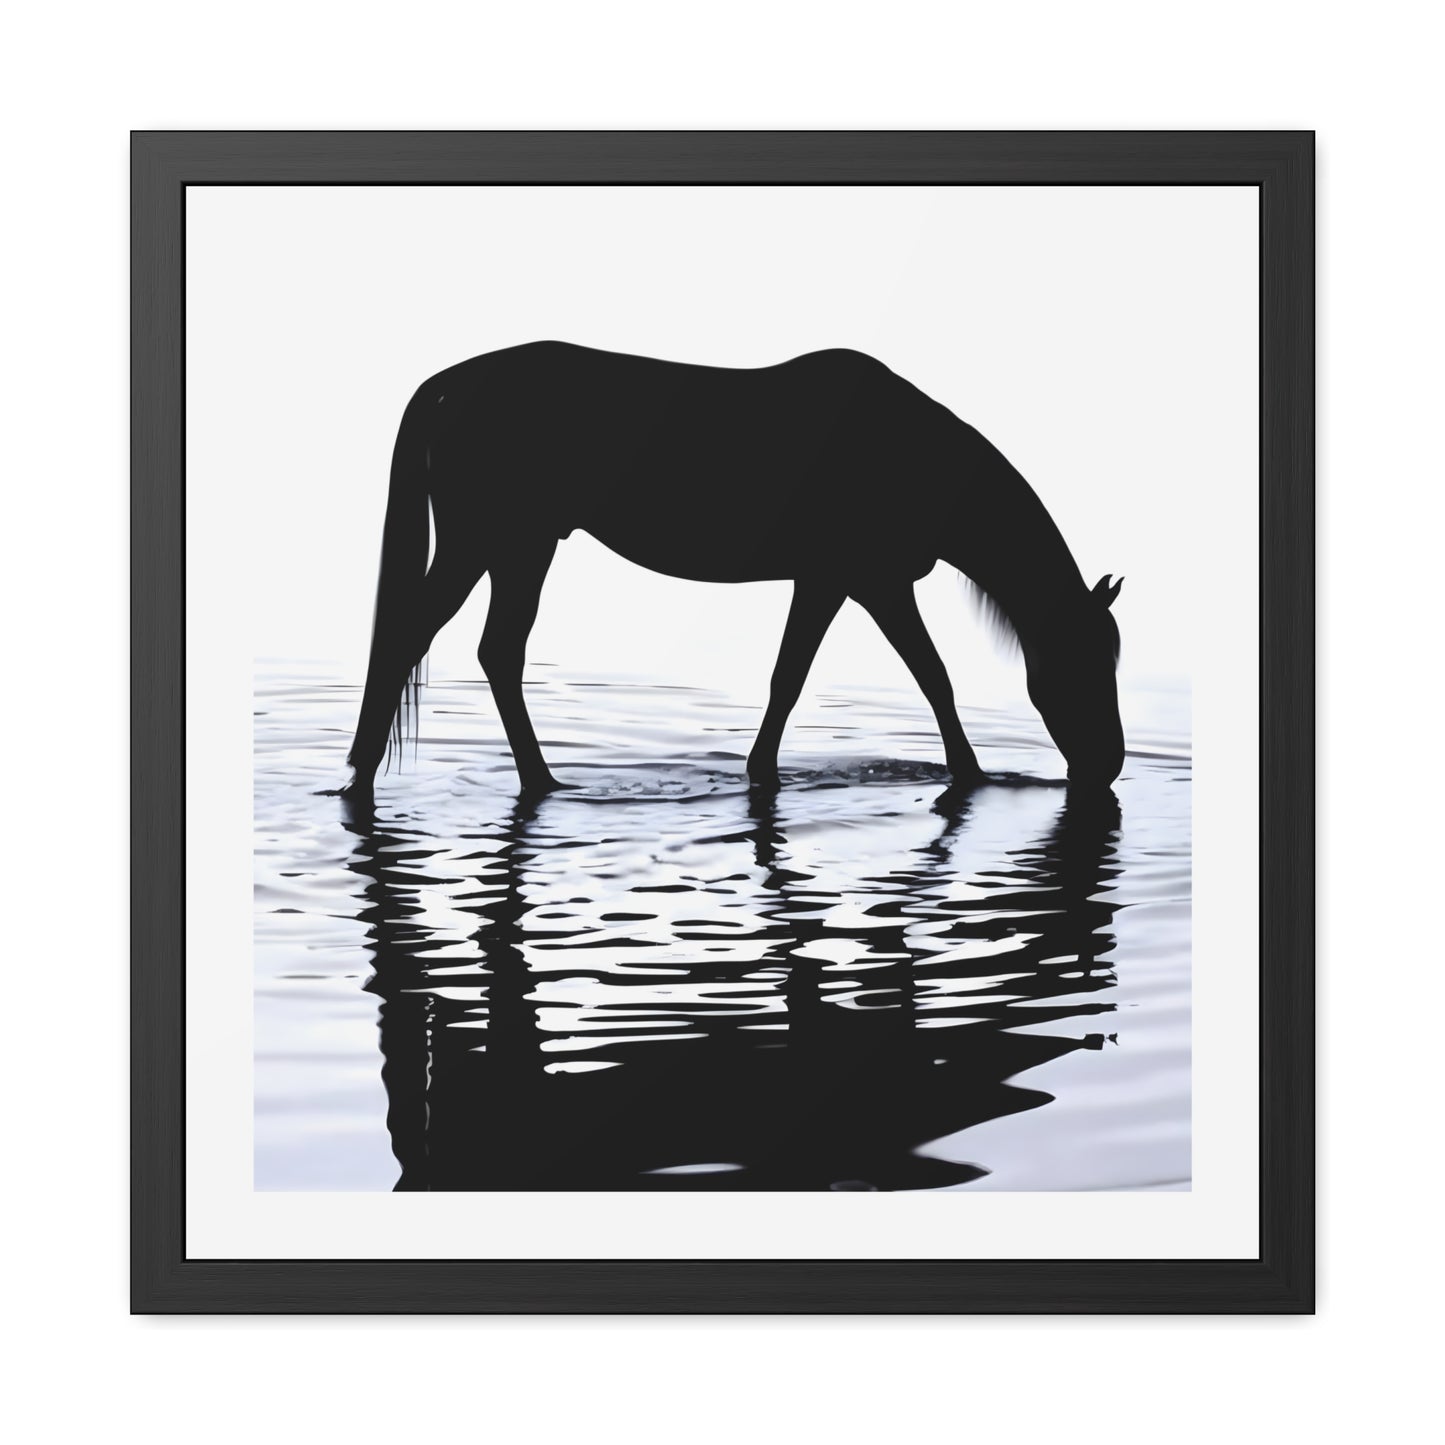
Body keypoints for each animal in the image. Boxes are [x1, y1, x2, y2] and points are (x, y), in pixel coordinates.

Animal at [341, 341, 1125, 797]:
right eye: (1084, 661)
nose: (1108, 765)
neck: (911, 455)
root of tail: (453, 382)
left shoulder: (856, 583)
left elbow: (861, 676)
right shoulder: (857, 580)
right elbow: (895, 675)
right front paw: (971, 773)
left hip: (523, 548)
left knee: (497, 651)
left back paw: (540, 779)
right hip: (486, 543)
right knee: (412, 635)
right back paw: (362, 776)